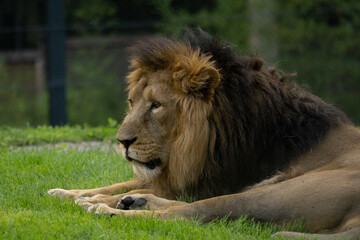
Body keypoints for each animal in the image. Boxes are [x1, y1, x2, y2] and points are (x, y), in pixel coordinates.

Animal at [49, 29, 360, 239]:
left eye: (156, 105)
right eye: (131, 102)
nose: (122, 142)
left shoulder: (211, 182)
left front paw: (91, 200)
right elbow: (117, 184)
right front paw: (64, 192)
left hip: (275, 194)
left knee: (192, 214)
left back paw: (109, 210)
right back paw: (132, 202)